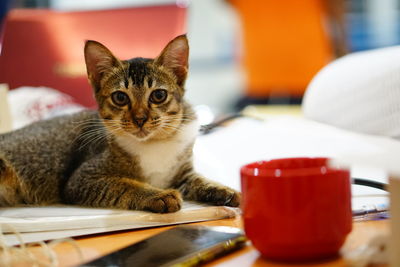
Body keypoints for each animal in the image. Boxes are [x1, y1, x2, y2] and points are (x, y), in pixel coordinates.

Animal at [0, 34, 239, 214]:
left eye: (158, 95)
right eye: (120, 98)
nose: (140, 118)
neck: (153, 144)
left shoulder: (183, 173)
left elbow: (198, 179)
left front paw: (223, 190)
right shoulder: (81, 179)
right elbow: (122, 184)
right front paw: (158, 195)